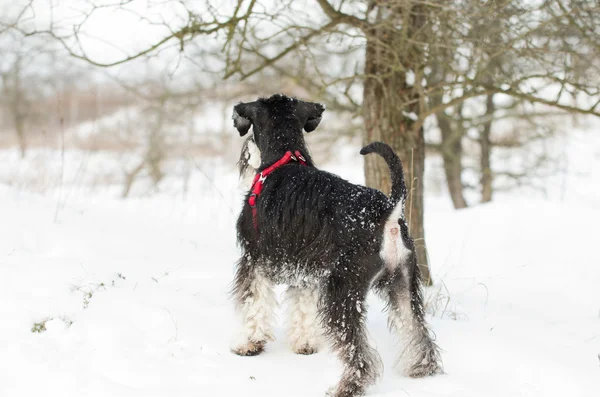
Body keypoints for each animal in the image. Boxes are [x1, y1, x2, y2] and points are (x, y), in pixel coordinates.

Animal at [230, 94, 440, 394]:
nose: (245, 153)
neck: (284, 160)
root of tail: (388, 212)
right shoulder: (304, 270)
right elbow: (302, 308)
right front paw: (304, 344)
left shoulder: (254, 259)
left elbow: (254, 304)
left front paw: (249, 344)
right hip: (403, 284)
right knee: (416, 329)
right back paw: (421, 369)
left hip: (343, 291)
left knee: (358, 353)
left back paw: (346, 387)